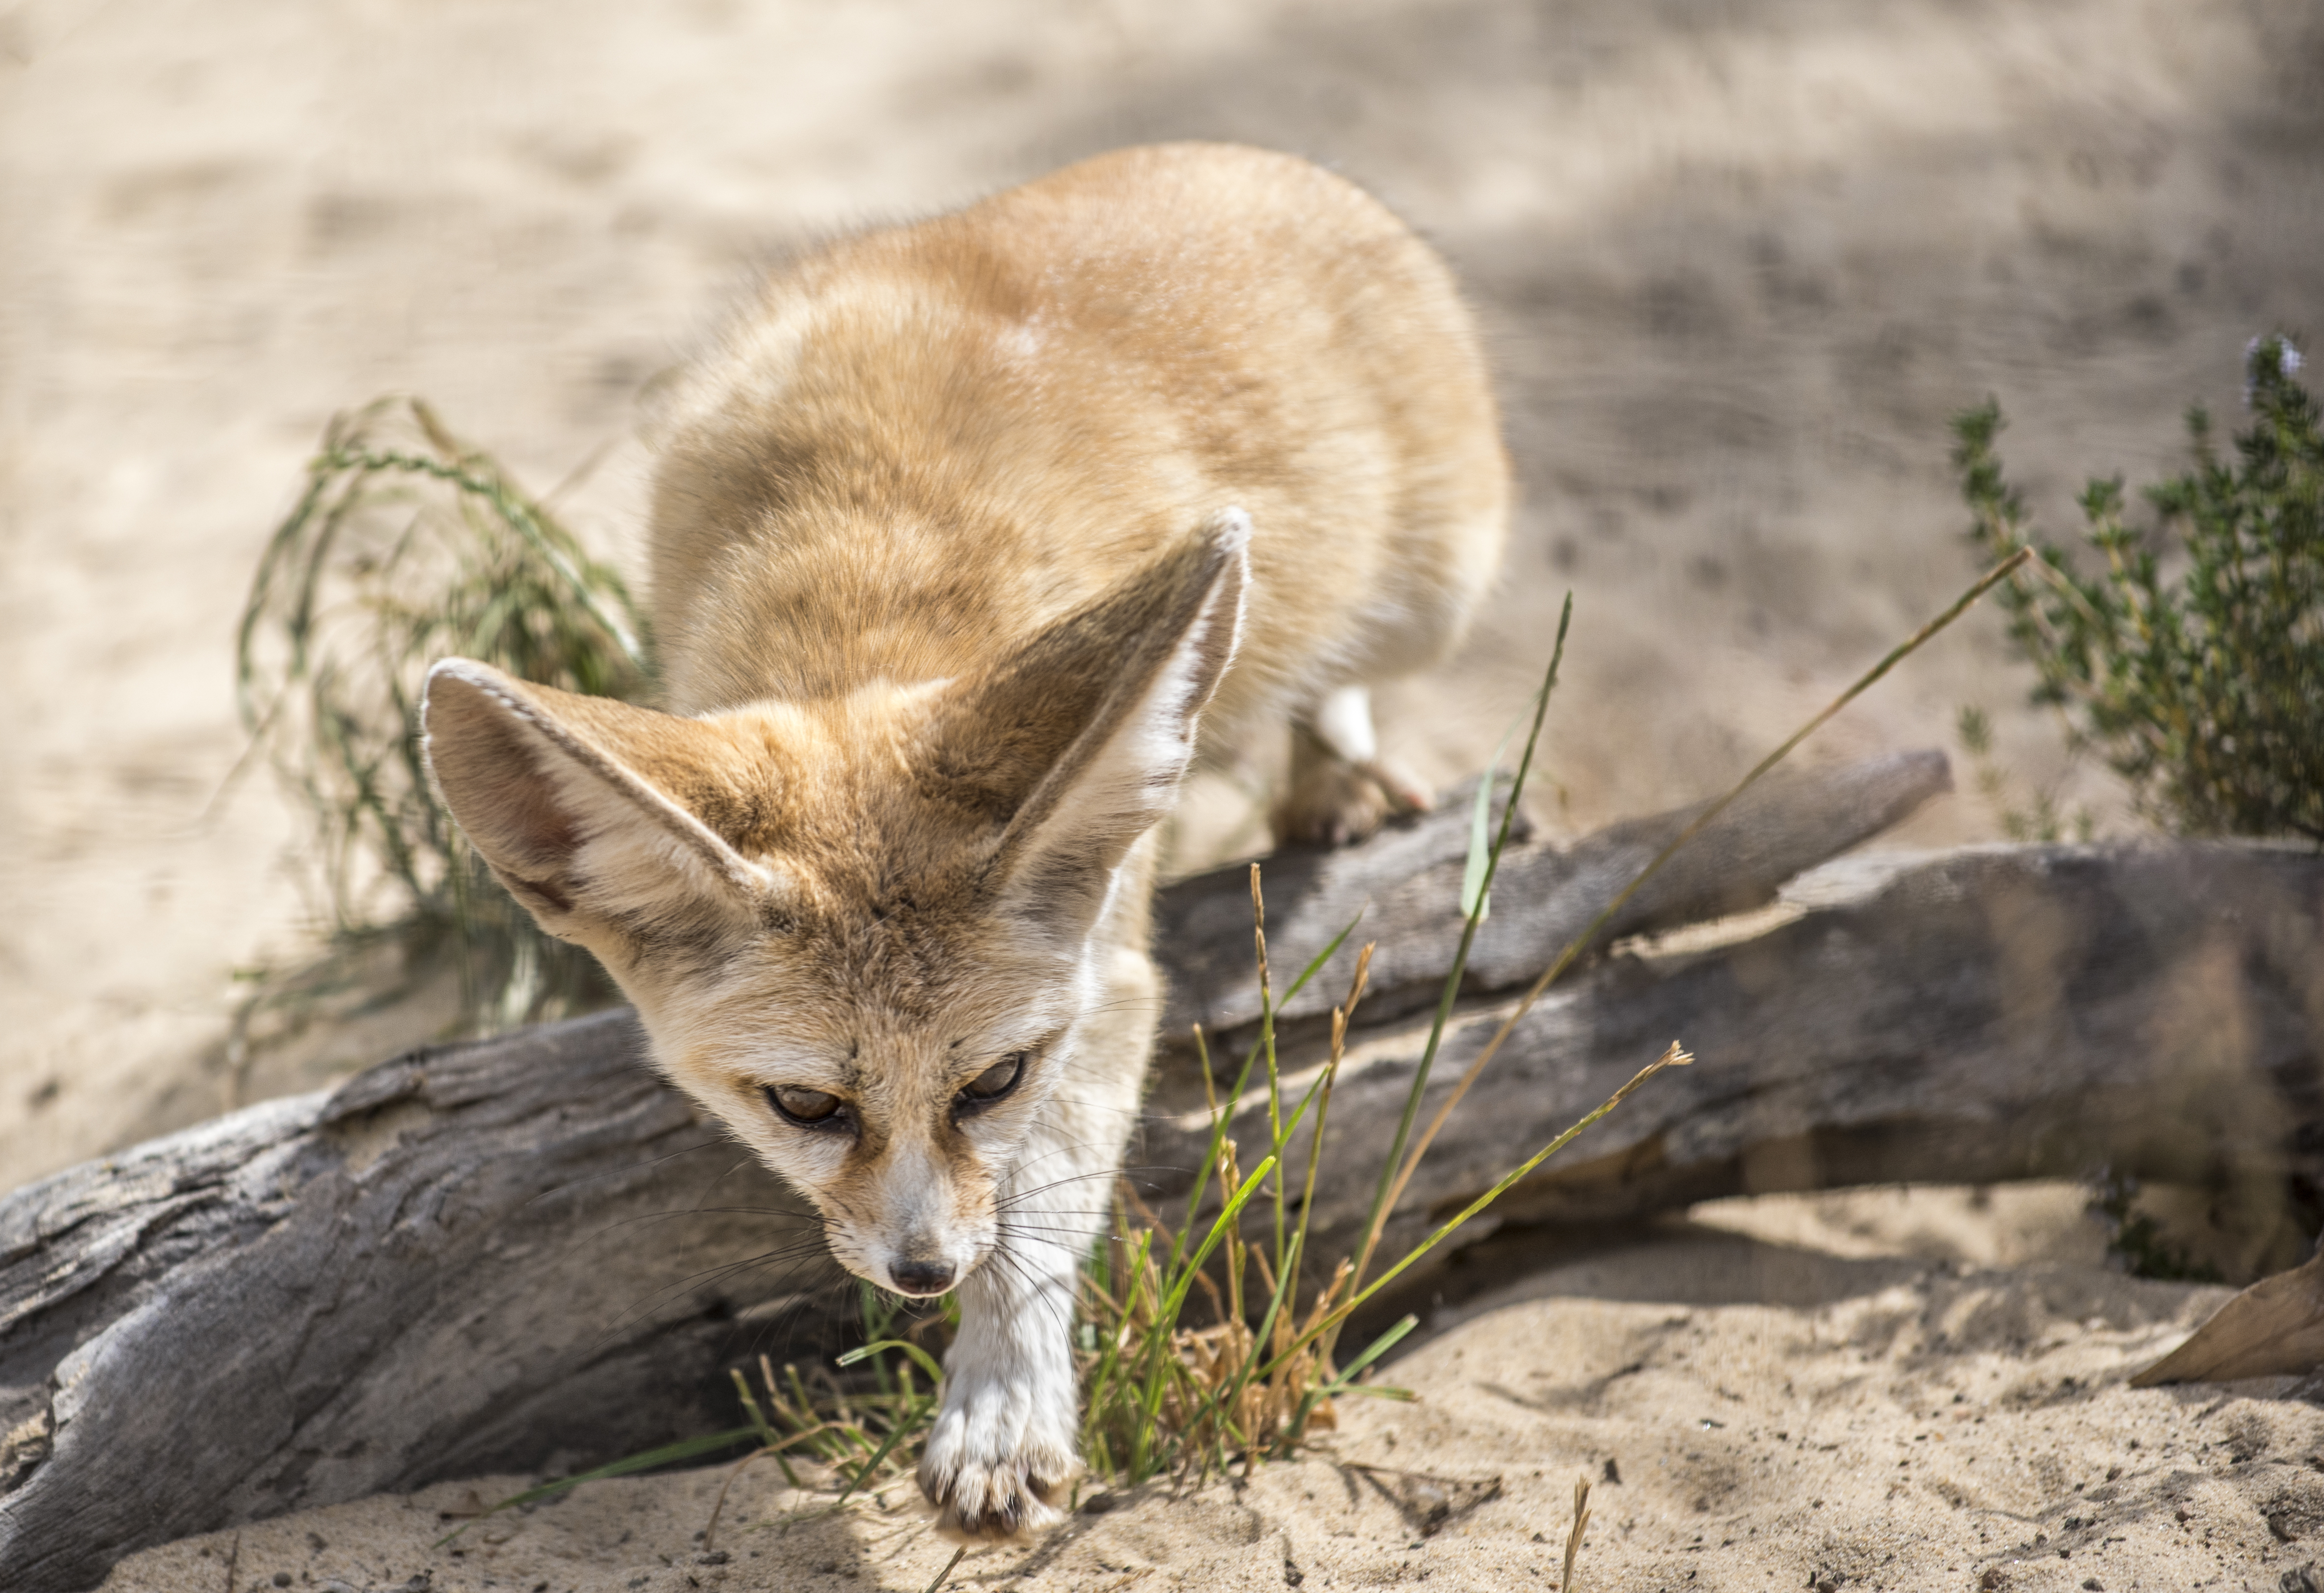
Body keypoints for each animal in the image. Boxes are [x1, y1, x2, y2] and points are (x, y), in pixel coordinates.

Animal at [423, 143, 1505, 1535]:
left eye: (992, 1081)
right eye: (804, 1103)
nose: (923, 1273)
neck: (870, 565)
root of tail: (1249, 159)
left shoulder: (1108, 981)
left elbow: (1037, 1211)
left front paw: (1000, 1400)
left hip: (1436, 599)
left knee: (1346, 672)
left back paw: (1338, 769)